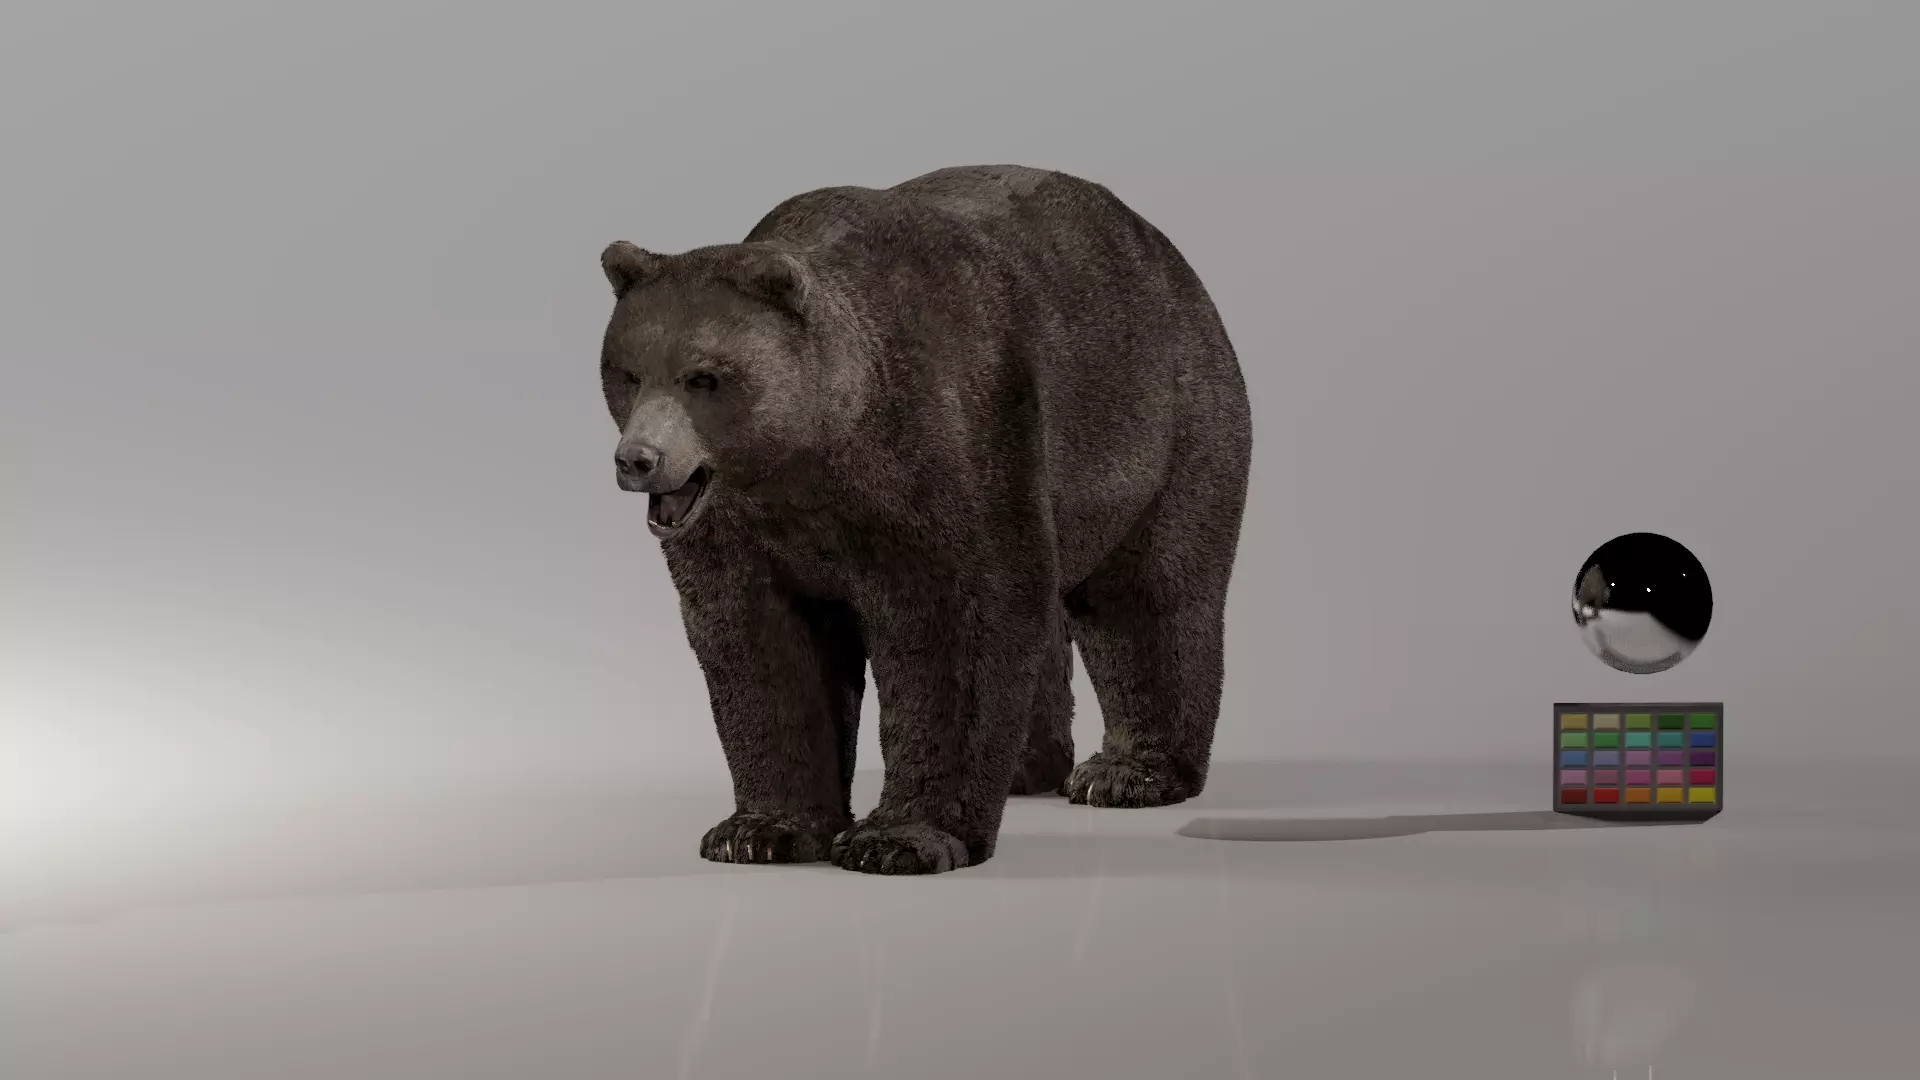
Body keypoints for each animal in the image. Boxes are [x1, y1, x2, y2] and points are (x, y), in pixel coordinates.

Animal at [596, 165, 1251, 875]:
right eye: (627, 372)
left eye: (704, 378)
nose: (637, 459)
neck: (813, 457)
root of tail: (1174, 259)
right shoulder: (742, 529)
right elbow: (759, 643)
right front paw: (759, 831)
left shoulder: (948, 446)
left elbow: (956, 624)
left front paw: (900, 838)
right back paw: (1028, 767)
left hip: (1164, 425)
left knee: (1147, 594)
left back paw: (1128, 773)